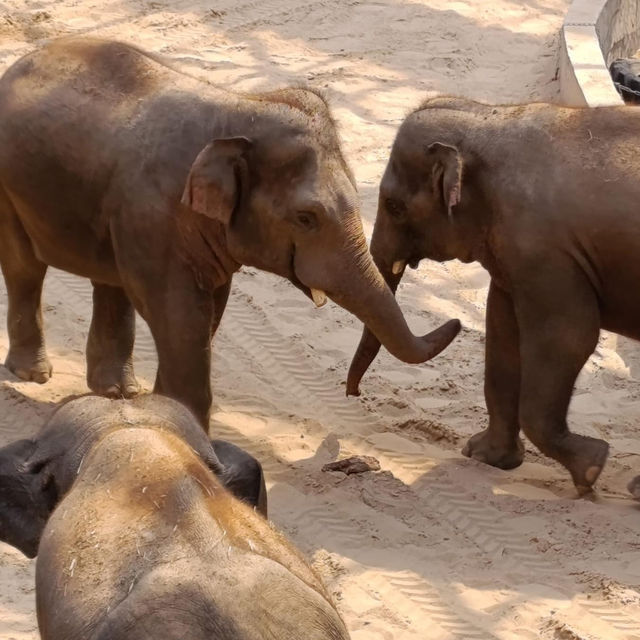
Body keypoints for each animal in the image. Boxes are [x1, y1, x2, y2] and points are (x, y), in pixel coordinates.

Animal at [0, 35, 460, 424]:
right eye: (306, 218)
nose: (457, 320)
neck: (239, 107)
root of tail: (23, 60)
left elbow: (208, 312)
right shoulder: (152, 215)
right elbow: (179, 314)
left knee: (108, 282)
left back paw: (116, 393)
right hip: (9, 191)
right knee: (25, 268)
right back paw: (33, 375)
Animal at [348, 96, 640, 496]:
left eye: (394, 205)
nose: (354, 395)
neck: (490, 117)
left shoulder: (543, 251)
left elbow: (569, 337)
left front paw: (591, 468)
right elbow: (502, 329)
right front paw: (484, 456)